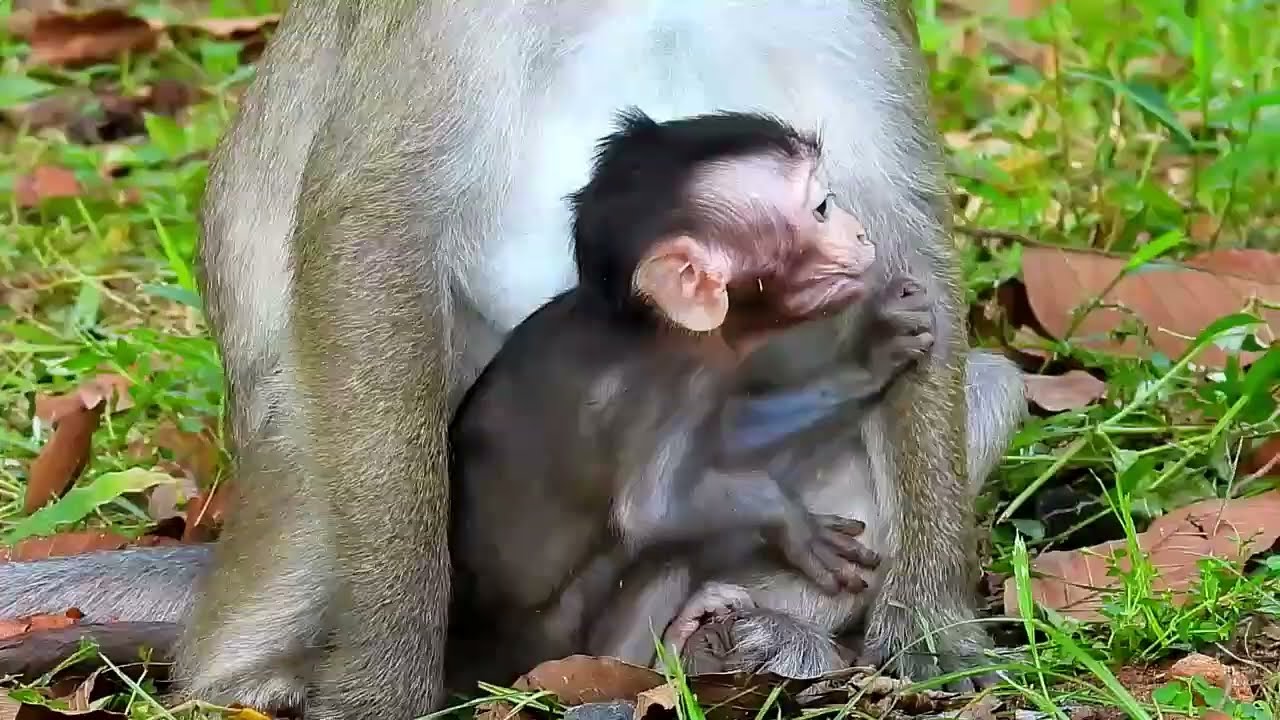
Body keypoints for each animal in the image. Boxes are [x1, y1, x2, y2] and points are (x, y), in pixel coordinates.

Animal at [0, 3, 1027, 716]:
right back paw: (249, 677)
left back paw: (749, 634)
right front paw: (382, 685)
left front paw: (933, 629)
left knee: (989, 382)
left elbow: (901, 222)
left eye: (820, 207)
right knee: (323, 427)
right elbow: (371, 228)